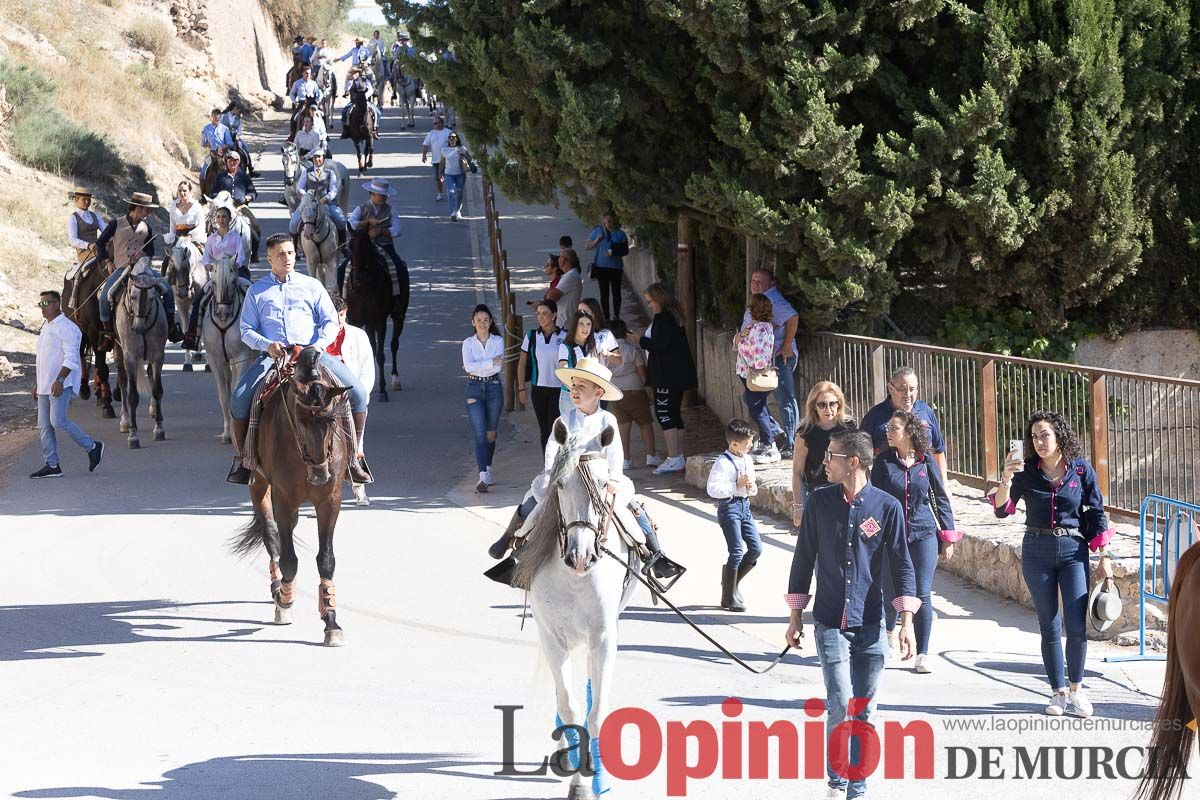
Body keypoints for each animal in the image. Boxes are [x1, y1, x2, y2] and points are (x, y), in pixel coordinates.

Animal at [113, 262, 169, 450]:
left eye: (152, 298)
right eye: (133, 296)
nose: (138, 328)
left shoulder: (158, 355)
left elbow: (157, 390)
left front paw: (159, 429)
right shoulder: (130, 357)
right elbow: (132, 396)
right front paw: (133, 435)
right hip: (118, 350)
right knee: (123, 382)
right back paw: (125, 421)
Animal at [201, 256, 250, 443]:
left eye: (232, 281)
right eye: (214, 282)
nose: (222, 313)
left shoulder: (240, 356)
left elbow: (237, 390)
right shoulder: (215, 359)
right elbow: (223, 395)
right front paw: (227, 433)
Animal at [229, 347, 350, 647]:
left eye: (332, 421)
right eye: (300, 421)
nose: (320, 475)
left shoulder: (330, 500)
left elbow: (326, 559)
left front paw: (331, 621)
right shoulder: (283, 498)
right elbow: (288, 560)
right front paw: (284, 598)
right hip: (259, 484)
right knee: (272, 536)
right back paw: (277, 588)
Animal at [508, 422, 638, 796]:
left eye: (604, 483)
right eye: (561, 484)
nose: (581, 557)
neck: (575, 578)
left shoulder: (604, 637)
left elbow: (596, 712)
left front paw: (594, 779)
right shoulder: (552, 637)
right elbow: (569, 706)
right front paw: (577, 778)